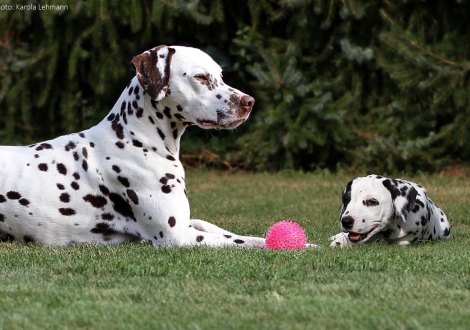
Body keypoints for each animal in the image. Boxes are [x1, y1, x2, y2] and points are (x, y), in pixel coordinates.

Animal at [0, 45, 268, 249]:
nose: (249, 102)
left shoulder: (187, 224)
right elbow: (243, 242)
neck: (134, 138)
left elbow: (216, 227)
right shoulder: (177, 237)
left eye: (220, 76)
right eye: (200, 77)